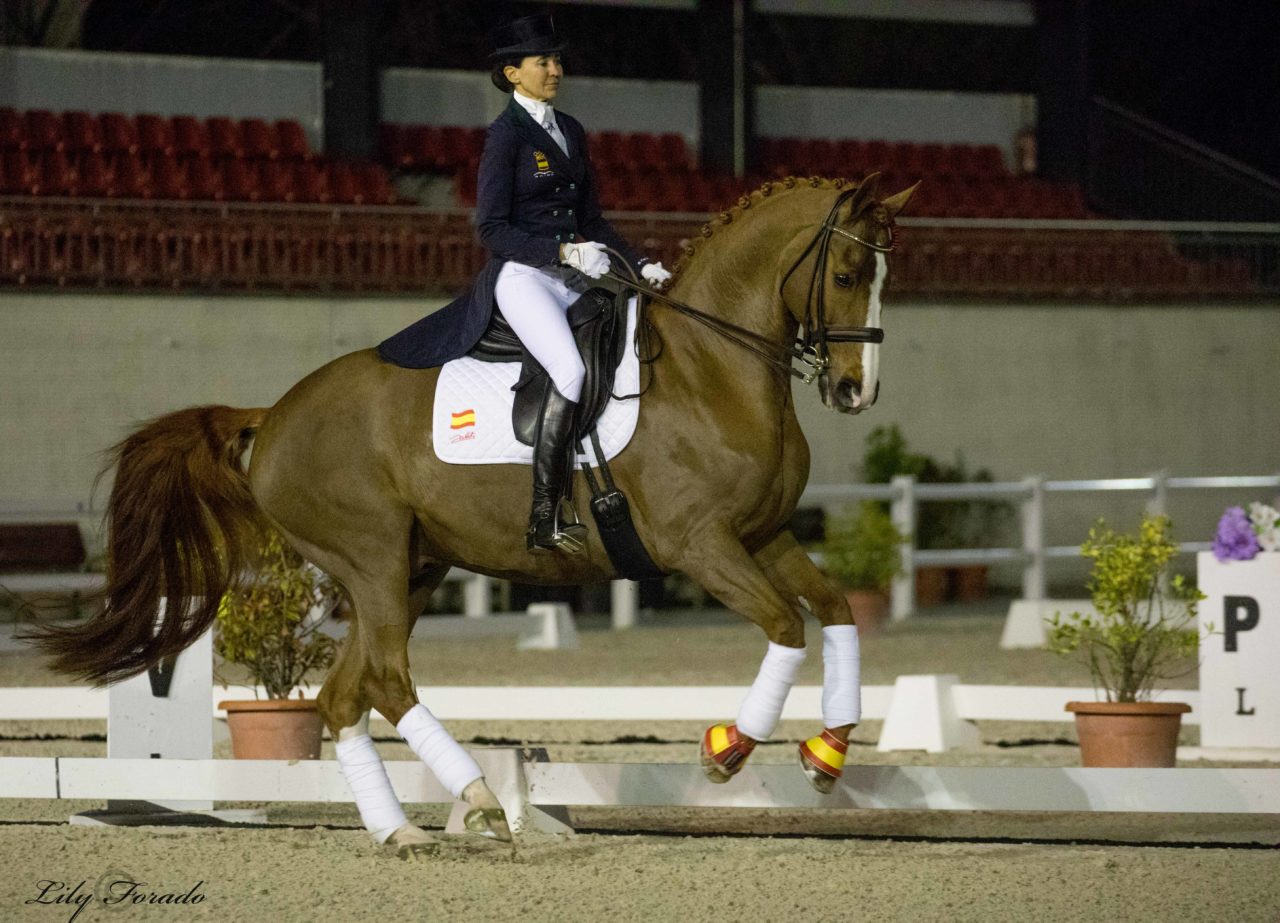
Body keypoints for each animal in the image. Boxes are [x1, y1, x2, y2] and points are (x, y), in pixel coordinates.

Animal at [27, 174, 911, 855]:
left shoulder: (763, 535)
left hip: (411, 568)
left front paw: (829, 751)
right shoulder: (700, 545)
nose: (855, 390)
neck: (711, 368)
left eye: (884, 276)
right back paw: (482, 800)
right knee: (386, 678)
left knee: (344, 695)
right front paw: (728, 748)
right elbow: (786, 625)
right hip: (375, 558)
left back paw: (400, 831)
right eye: (847, 271)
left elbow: (835, 610)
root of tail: (273, 414)